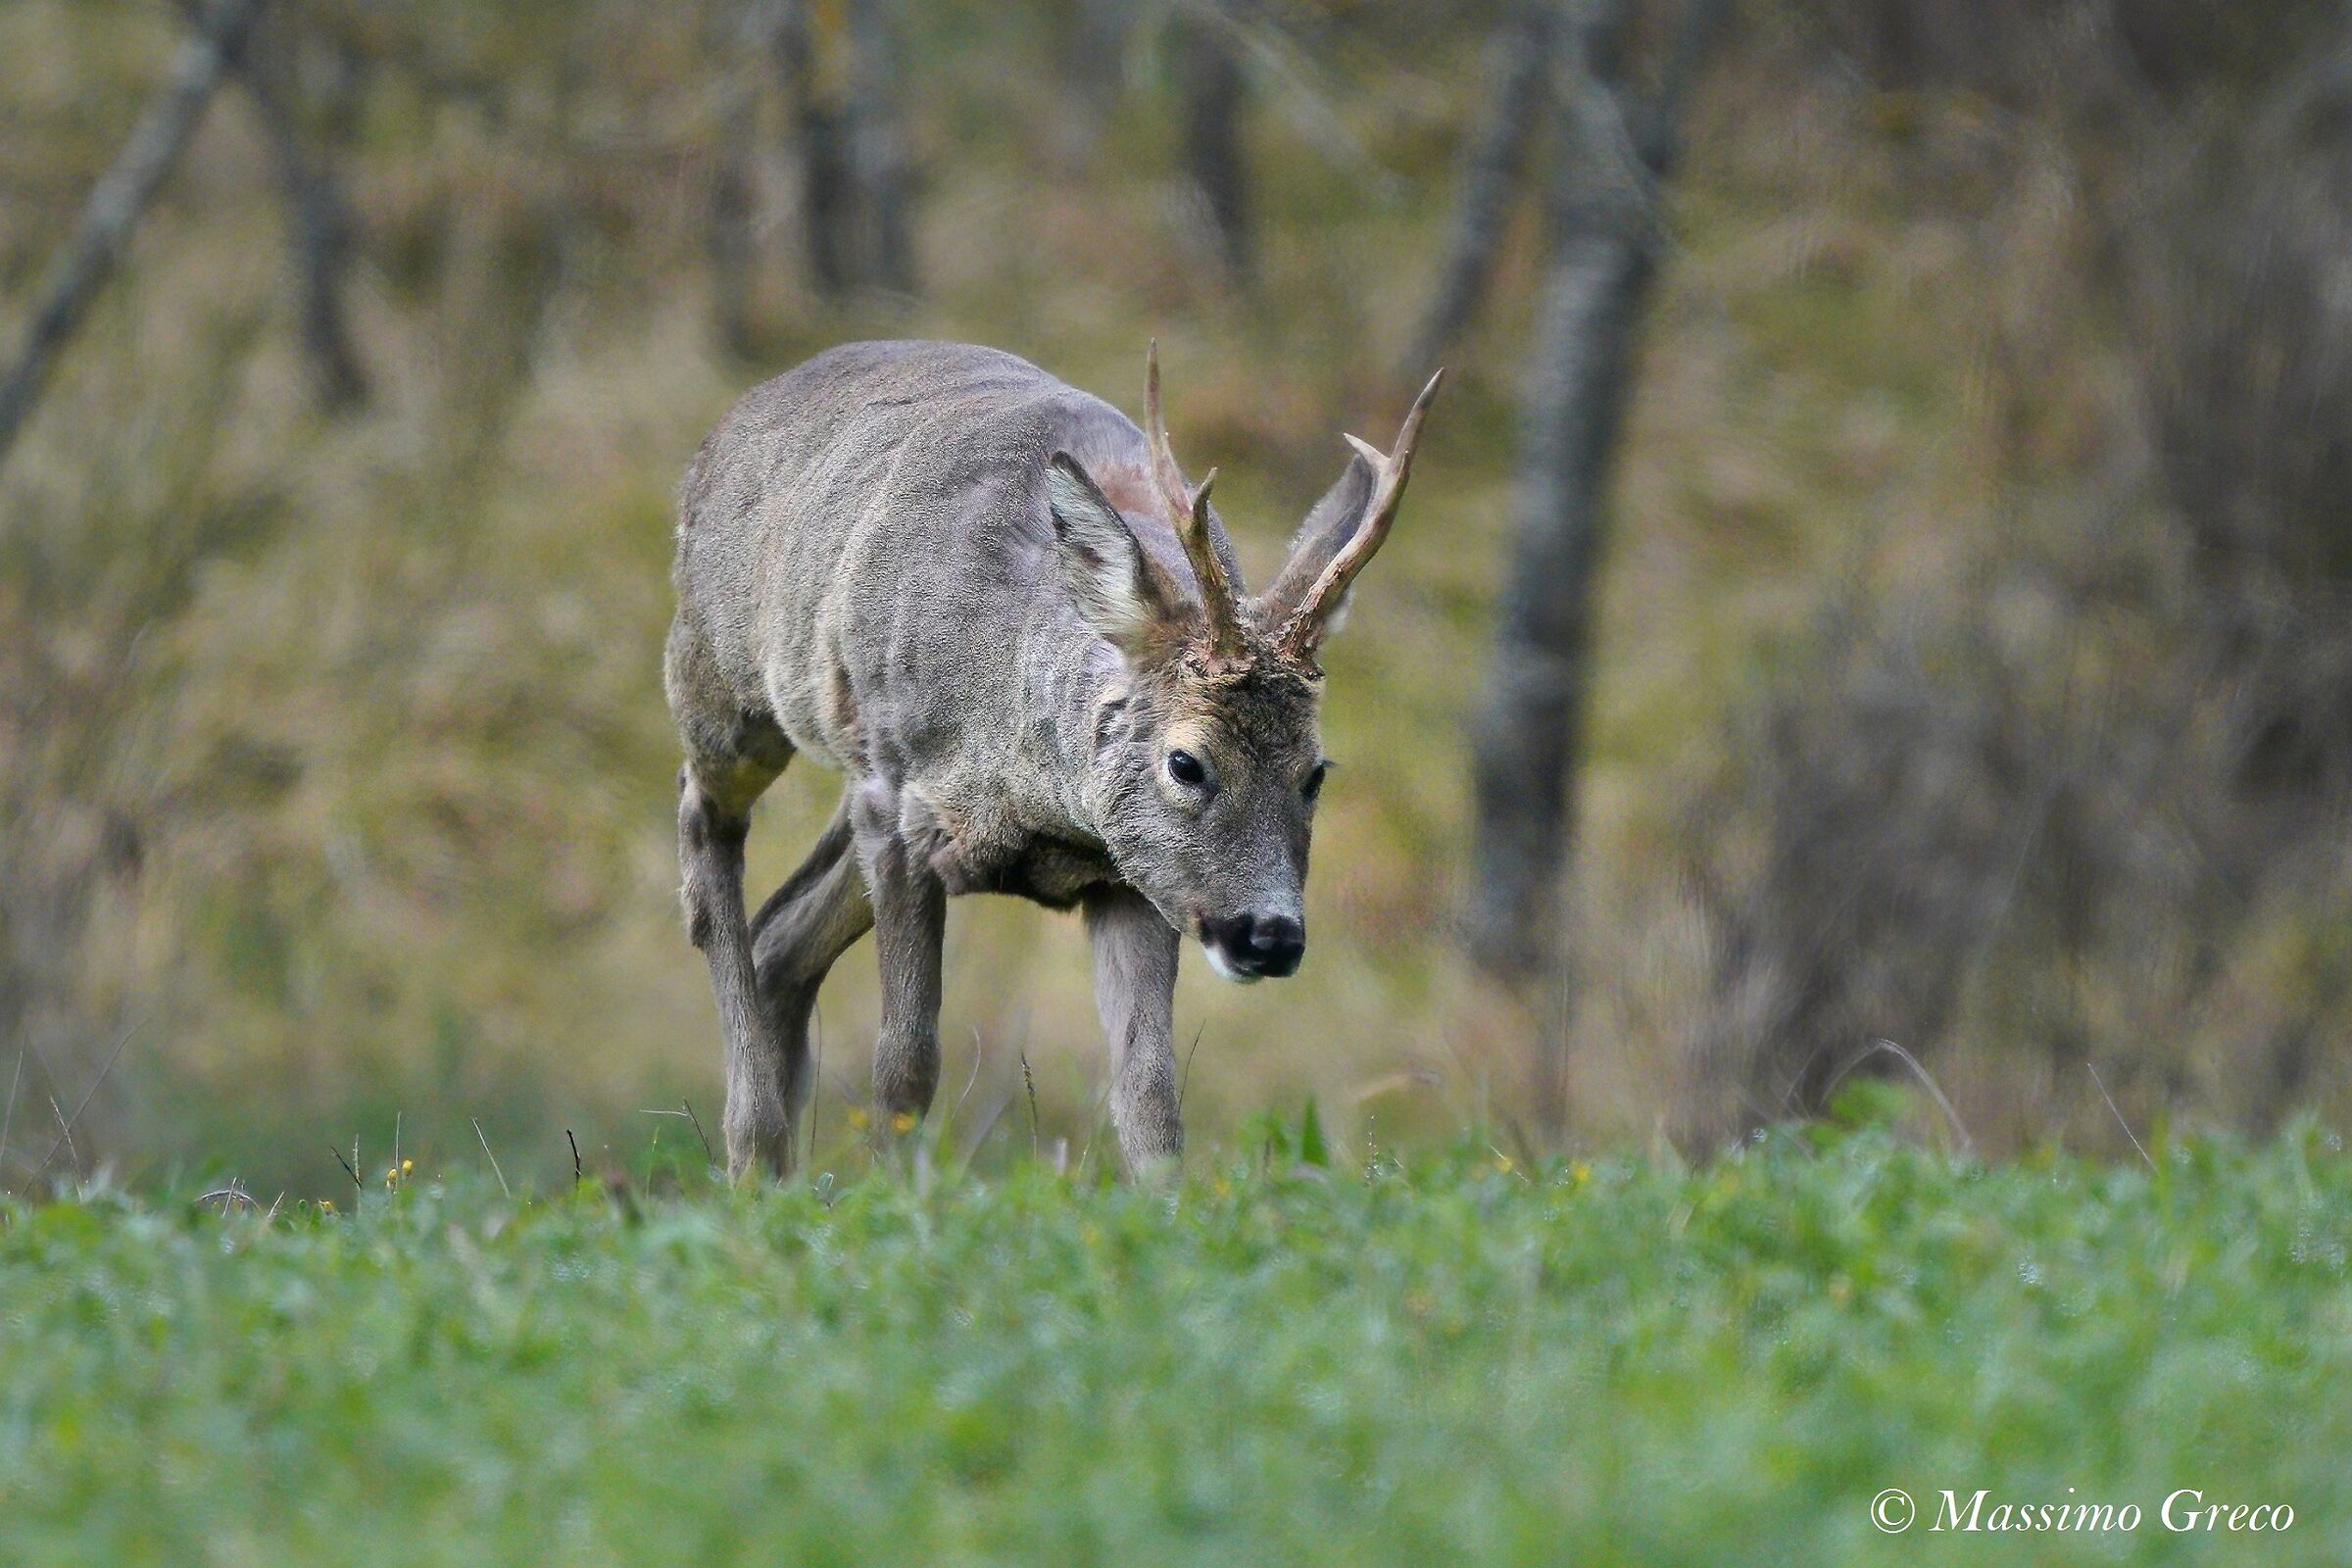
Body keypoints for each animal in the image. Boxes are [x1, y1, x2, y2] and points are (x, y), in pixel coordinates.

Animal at [667, 339, 1441, 1181]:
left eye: (1315, 773)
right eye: (1187, 762)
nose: (1268, 935)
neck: (1027, 792)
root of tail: (729, 425)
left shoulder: (1130, 873)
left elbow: (1150, 1092)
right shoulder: (895, 802)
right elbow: (906, 1062)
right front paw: (899, 1193)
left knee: (780, 934)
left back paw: (773, 1178)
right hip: (721, 680)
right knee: (706, 841)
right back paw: (752, 1146)